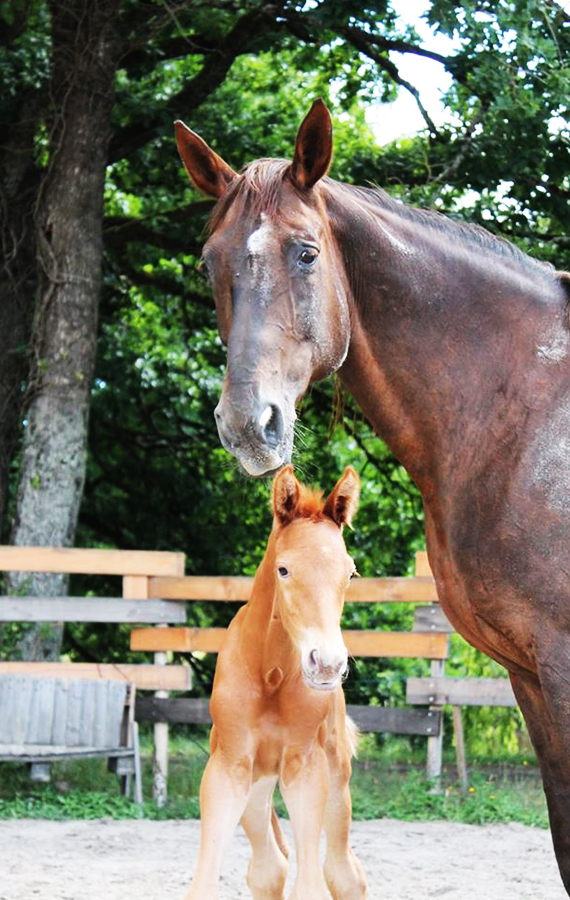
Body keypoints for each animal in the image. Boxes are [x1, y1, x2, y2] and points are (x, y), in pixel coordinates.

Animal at [184, 464, 366, 900]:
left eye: (350, 573)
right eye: (284, 569)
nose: (327, 665)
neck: (269, 675)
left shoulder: (304, 767)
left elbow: (313, 884)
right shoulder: (229, 767)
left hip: (336, 780)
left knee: (343, 872)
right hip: (257, 790)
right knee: (270, 867)